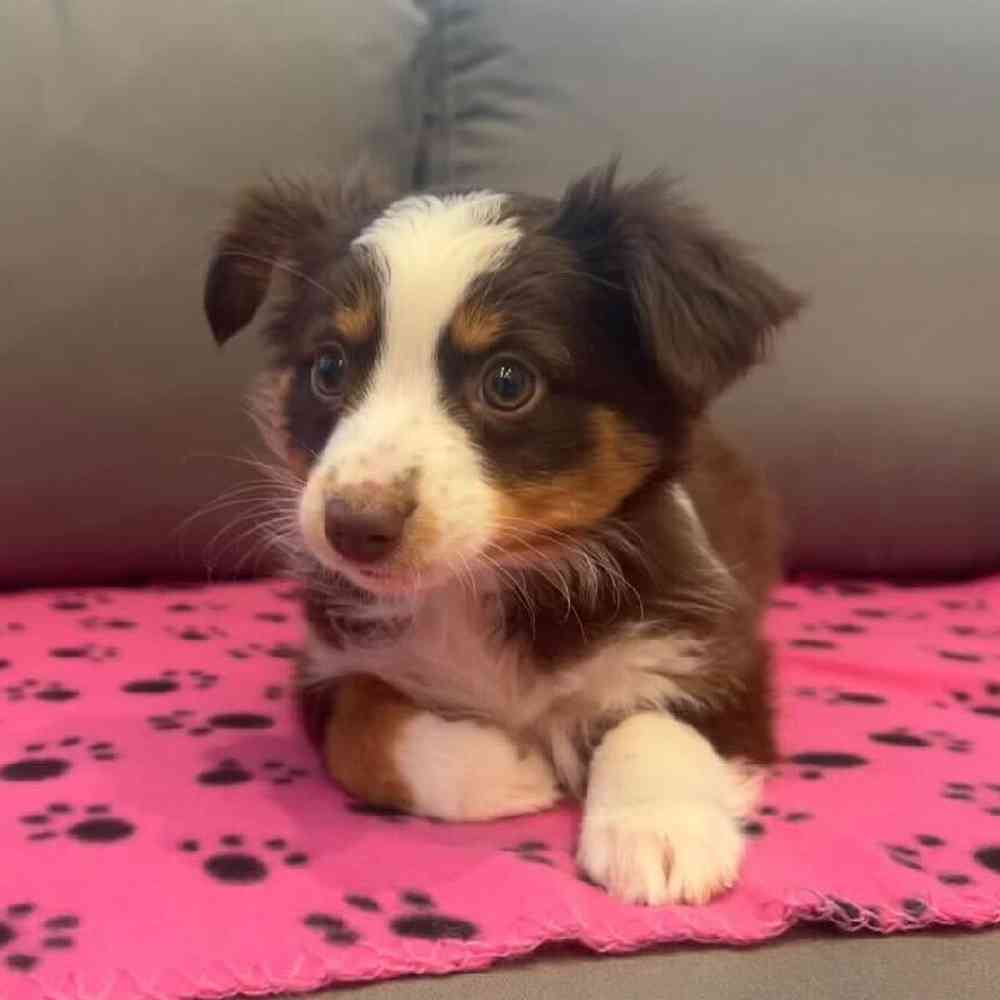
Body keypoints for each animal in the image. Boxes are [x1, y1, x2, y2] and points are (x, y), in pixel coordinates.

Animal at [205, 162, 804, 908]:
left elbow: (656, 719)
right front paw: (501, 764)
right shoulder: (326, 662)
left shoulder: (717, 651)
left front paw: (658, 833)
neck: (480, 583)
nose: (353, 527)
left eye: (509, 381)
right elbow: (360, 726)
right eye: (328, 369)